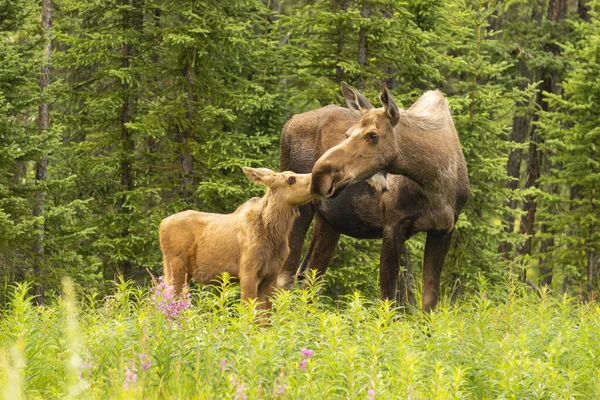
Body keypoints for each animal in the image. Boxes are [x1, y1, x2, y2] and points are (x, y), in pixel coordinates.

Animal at [159, 167, 312, 308]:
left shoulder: (270, 275)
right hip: (175, 267)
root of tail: (161, 224)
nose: (313, 176)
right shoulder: (247, 272)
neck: (273, 235)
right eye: (290, 179)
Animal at [278, 83, 472, 310]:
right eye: (347, 134)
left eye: (373, 135)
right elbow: (388, 299)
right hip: (300, 208)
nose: (319, 174)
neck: (434, 184)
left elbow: (429, 303)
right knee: (285, 275)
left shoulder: (443, 229)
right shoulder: (392, 224)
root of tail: (289, 122)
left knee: (309, 274)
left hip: (329, 220)